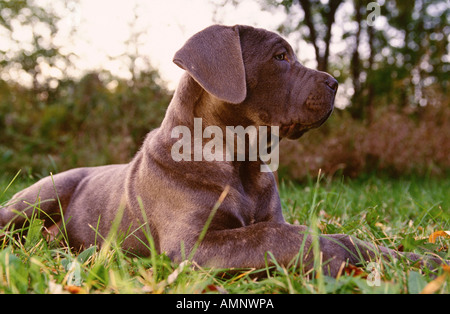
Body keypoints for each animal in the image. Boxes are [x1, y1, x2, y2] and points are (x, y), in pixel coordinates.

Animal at [0, 25, 442, 278]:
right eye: (280, 56)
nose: (335, 83)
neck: (241, 165)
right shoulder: (191, 245)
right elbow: (278, 234)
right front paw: (329, 254)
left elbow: (326, 233)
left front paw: (414, 260)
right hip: (35, 199)